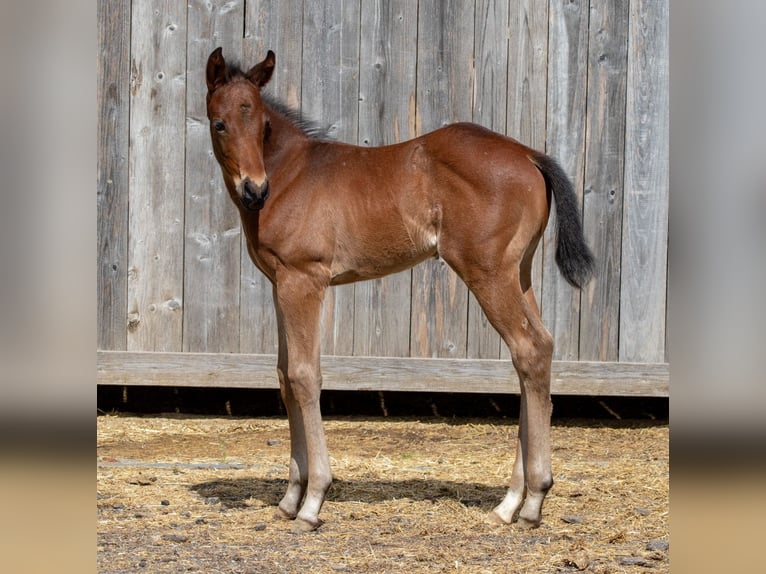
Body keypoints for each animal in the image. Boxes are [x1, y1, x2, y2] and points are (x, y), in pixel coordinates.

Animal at [205, 47, 594, 532]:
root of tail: (528, 154)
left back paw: (534, 500)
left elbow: (304, 376)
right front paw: (290, 498)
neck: (290, 174)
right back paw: (510, 502)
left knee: (530, 350)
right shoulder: (281, 283)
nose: (254, 190)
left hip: (487, 273)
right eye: (221, 123)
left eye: (261, 125)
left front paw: (313, 501)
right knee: (536, 352)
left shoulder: (304, 280)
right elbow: (282, 375)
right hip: (518, 273)